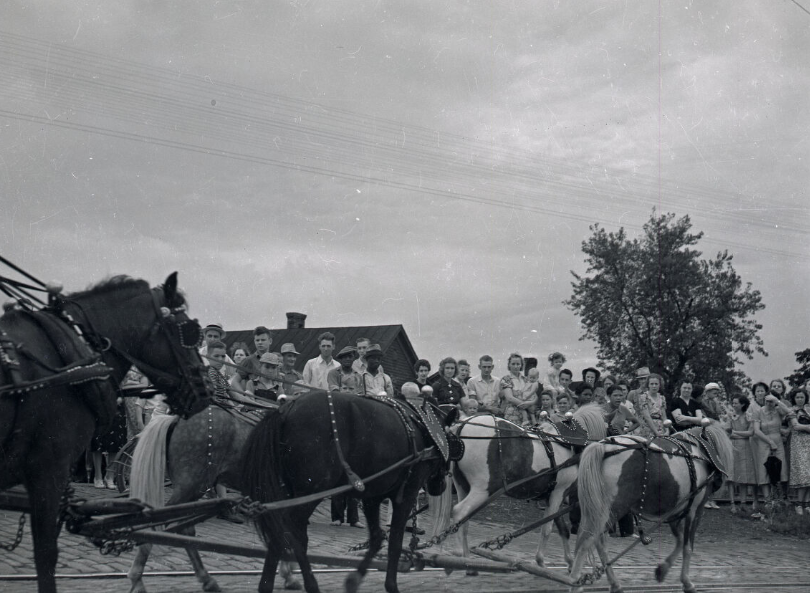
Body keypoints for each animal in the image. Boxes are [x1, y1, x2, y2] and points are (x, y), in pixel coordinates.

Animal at [128, 402, 298, 592]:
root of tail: (176, 418)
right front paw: (289, 571)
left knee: (184, 528)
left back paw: (206, 579)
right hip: (191, 486)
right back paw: (137, 579)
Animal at [432, 404, 604, 568]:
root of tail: (462, 426)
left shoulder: (552, 496)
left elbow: (562, 529)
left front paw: (568, 561)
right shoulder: (558, 493)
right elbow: (547, 529)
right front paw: (541, 560)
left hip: (463, 487)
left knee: (464, 520)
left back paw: (467, 558)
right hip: (483, 489)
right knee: (460, 511)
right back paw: (459, 554)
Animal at [568, 420, 732, 592]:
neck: (700, 451)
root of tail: (604, 447)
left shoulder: (674, 512)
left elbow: (680, 540)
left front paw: (663, 569)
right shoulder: (694, 510)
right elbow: (687, 546)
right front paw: (687, 582)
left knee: (599, 542)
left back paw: (614, 583)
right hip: (613, 509)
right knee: (589, 540)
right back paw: (575, 582)